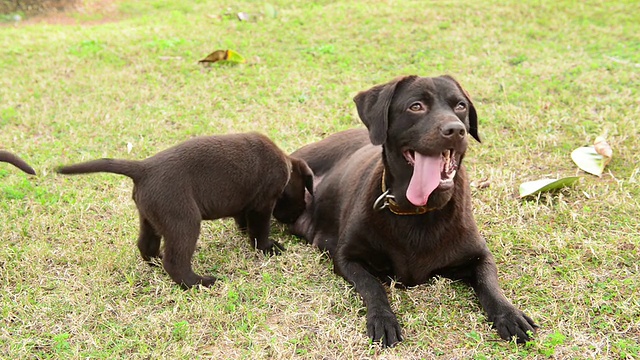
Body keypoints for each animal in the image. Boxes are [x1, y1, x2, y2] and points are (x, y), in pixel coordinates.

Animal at [58, 131, 314, 286]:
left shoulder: (246, 203)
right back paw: (199, 283)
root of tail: (143, 169)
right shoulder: (262, 205)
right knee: (176, 262)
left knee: (146, 245)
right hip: (184, 221)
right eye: (304, 194)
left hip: (150, 218)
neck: (286, 166)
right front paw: (268, 248)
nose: (298, 215)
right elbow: (259, 232)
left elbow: (243, 221)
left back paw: (156, 261)